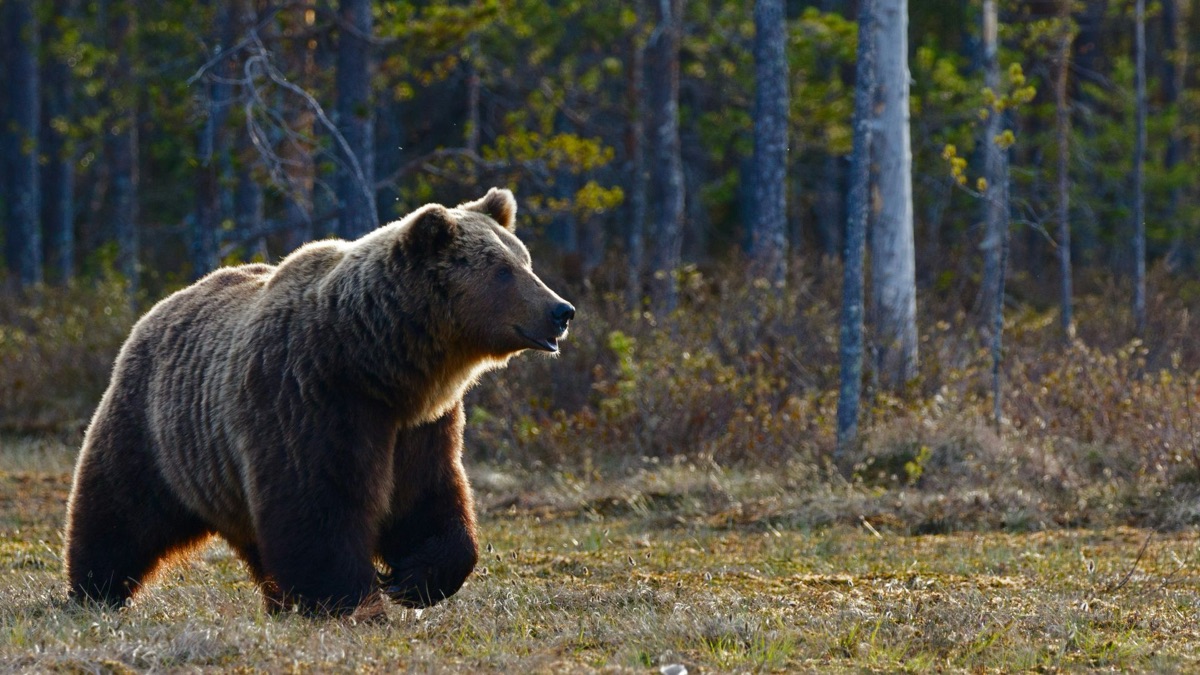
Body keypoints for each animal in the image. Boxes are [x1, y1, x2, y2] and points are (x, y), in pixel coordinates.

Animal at [63, 188, 574, 618]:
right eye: (502, 270)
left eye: (525, 260)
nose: (561, 310)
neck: (379, 364)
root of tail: (159, 307)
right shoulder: (311, 398)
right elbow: (319, 506)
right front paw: (353, 600)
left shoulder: (422, 425)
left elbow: (428, 498)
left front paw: (412, 580)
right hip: (156, 429)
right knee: (119, 510)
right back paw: (95, 591)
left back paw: (277, 600)